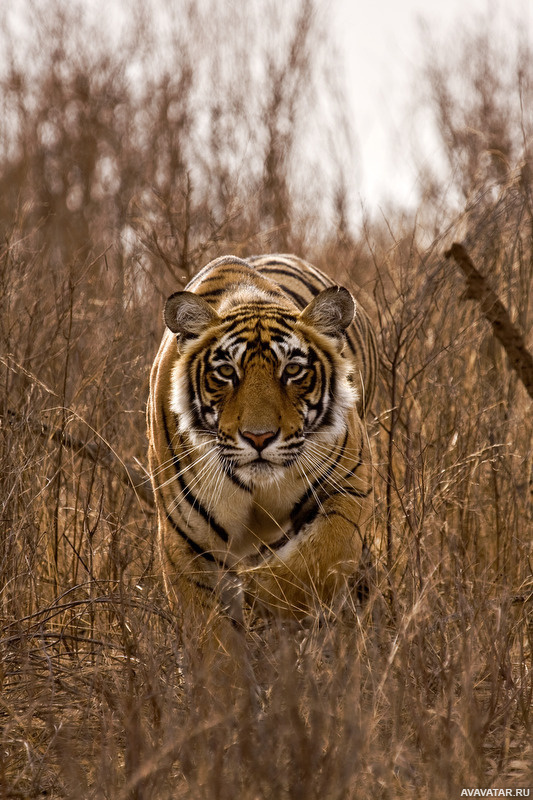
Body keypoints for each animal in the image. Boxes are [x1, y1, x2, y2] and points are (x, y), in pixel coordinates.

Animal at [148, 255, 376, 624]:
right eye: (226, 372)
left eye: (292, 371)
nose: (259, 438)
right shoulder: (186, 537)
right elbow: (209, 629)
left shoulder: (350, 486)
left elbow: (319, 557)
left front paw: (260, 593)